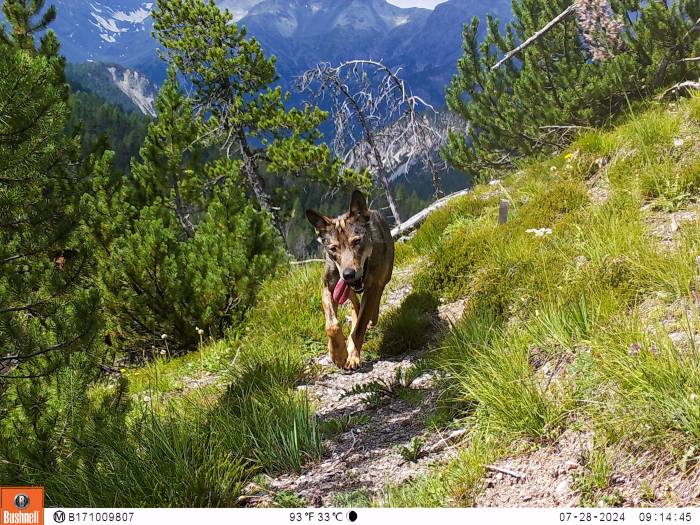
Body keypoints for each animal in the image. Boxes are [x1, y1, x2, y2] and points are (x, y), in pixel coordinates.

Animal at [306, 190, 395, 370]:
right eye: (333, 249)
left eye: (357, 241)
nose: (348, 274)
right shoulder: (328, 287)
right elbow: (331, 325)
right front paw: (338, 354)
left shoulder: (373, 287)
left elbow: (359, 327)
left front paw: (352, 356)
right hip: (345, 290)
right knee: (355, 305)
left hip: (383, 279)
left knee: (371, 307)